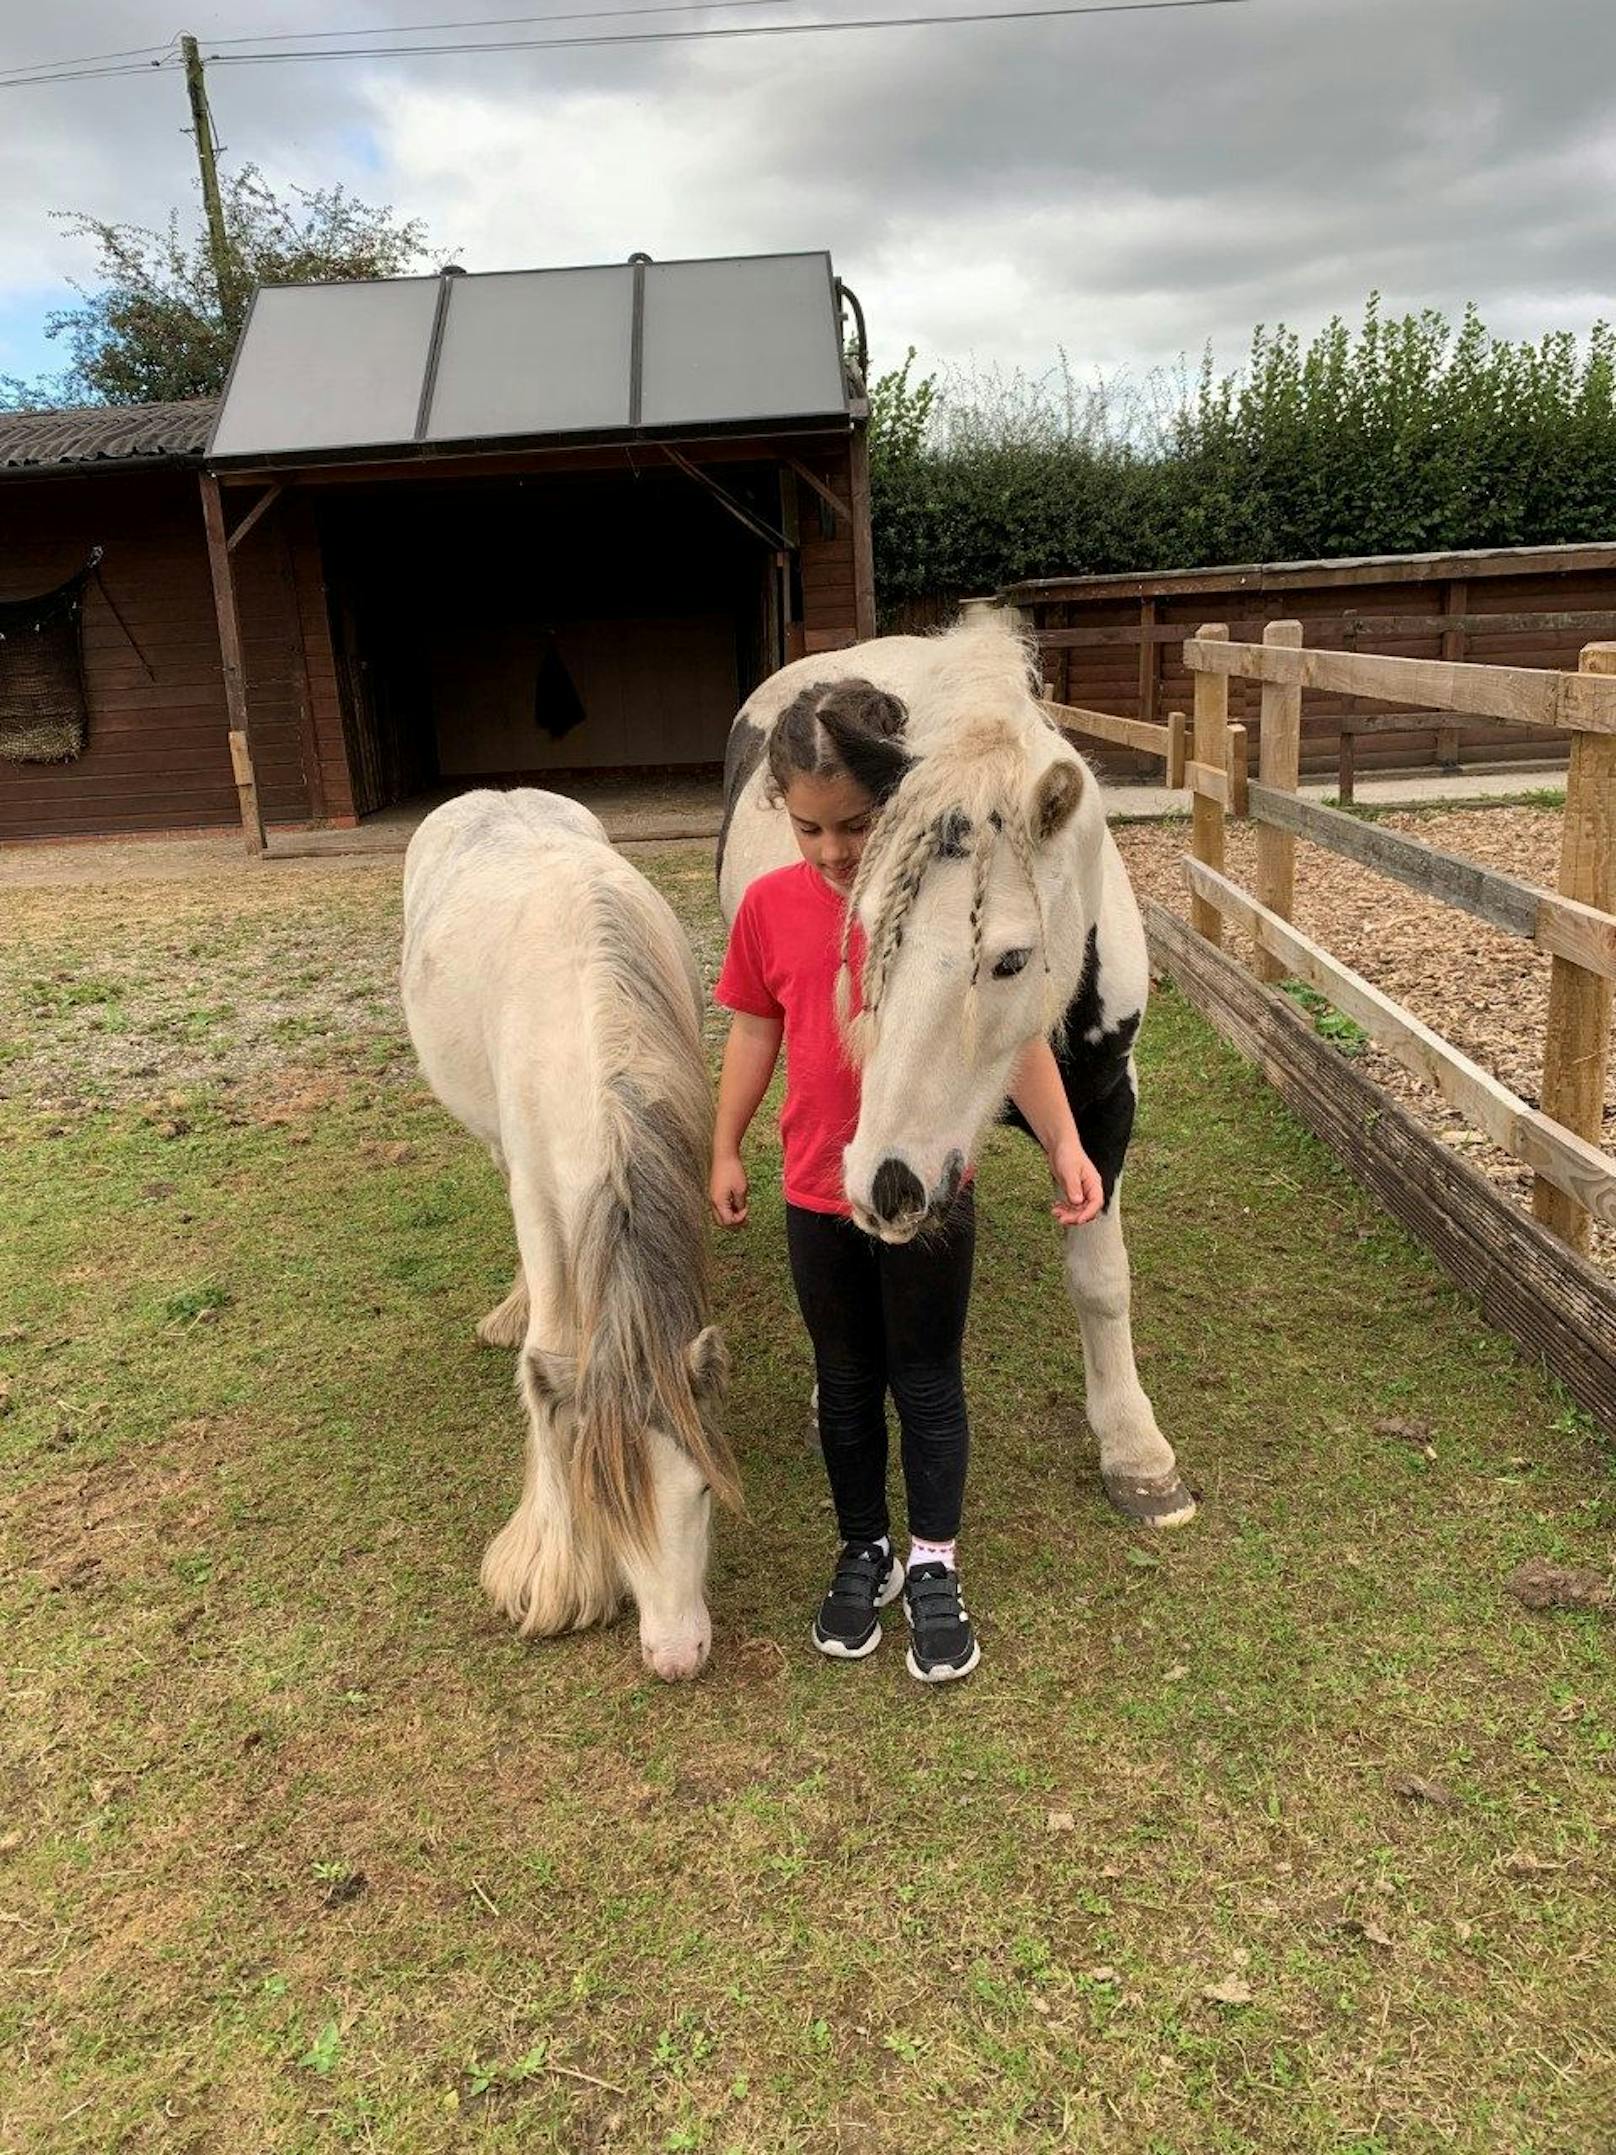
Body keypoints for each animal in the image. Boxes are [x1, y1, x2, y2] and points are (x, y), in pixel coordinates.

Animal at [405, 797, 741, 1680]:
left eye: (700, 1490)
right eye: (602, 1498)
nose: (678, 1654)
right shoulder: (536, 1187)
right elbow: (549, 1355)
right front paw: (557, 1566)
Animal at [715, 607, 1197, 1534]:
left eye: (1009, 958)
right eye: (863, 929)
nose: (888, 1185)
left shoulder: (1106, 1105)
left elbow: (1101, 1277)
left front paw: (1137, 1451)